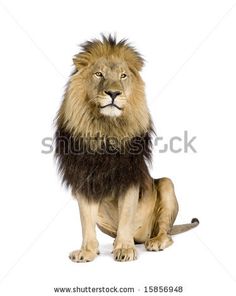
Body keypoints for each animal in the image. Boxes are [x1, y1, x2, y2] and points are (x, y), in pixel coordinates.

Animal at [54, 35, 198, 262]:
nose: (113, 93)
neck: (106, 130)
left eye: (123, 76)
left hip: (167, 185)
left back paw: (154, 241)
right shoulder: (85, 182)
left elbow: (126, 216)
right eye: (99, 74)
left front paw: (124, 248)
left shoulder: (130, 177)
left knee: (165, 232)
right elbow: (86, 221)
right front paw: (87, 251)